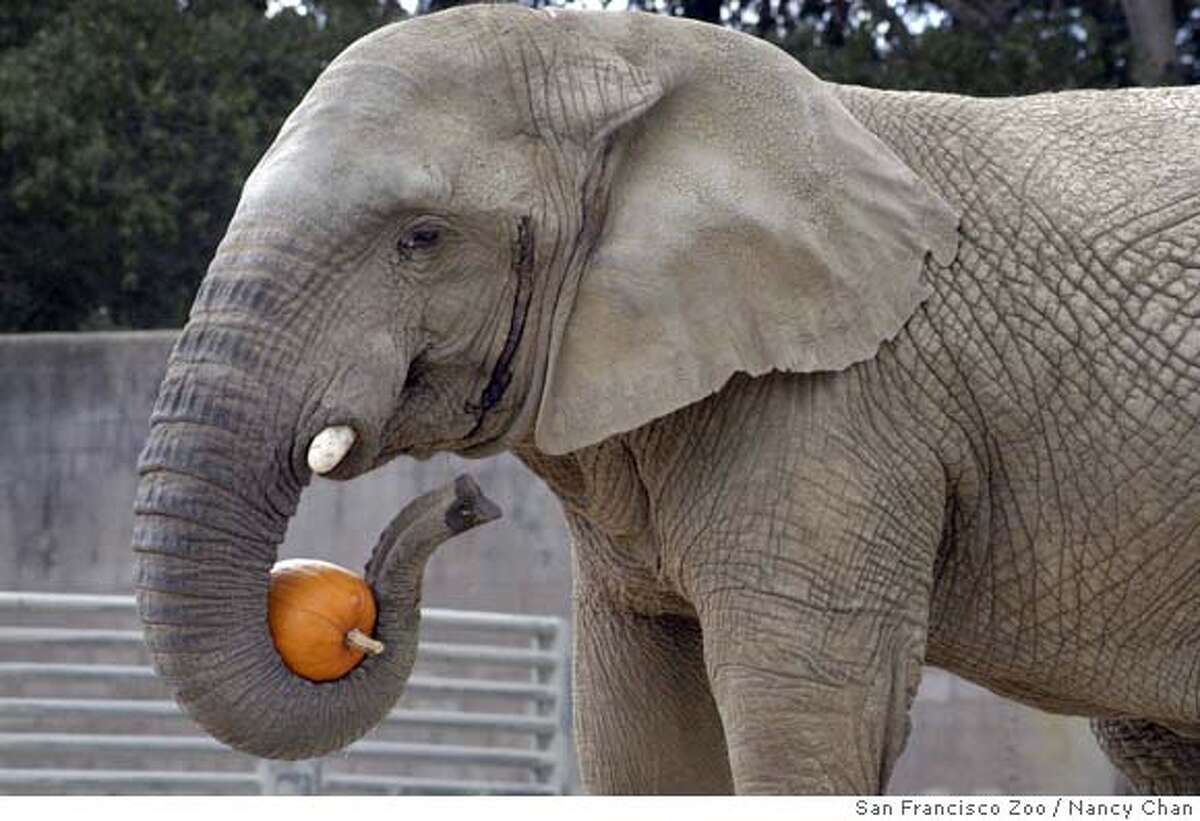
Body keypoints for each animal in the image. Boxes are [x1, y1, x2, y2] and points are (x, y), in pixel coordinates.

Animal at [131, 0, 1200, 796]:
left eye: (421, 238)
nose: (466, 505)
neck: (622, 57)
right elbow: (638, 729)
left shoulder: (844, 405)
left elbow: (804, 713)